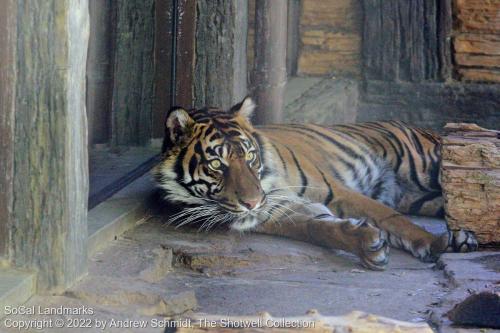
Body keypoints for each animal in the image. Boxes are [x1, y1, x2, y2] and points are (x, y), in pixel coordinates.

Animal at [152, 96, 476, 270]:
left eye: (250, 157)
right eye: (217, 164)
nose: (252, 203)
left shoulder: (338, 192)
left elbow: (391, 219)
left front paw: (435, 243)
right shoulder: (282, 211)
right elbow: (319, 227)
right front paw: (367, 245)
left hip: (426, 164)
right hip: (423, 198)